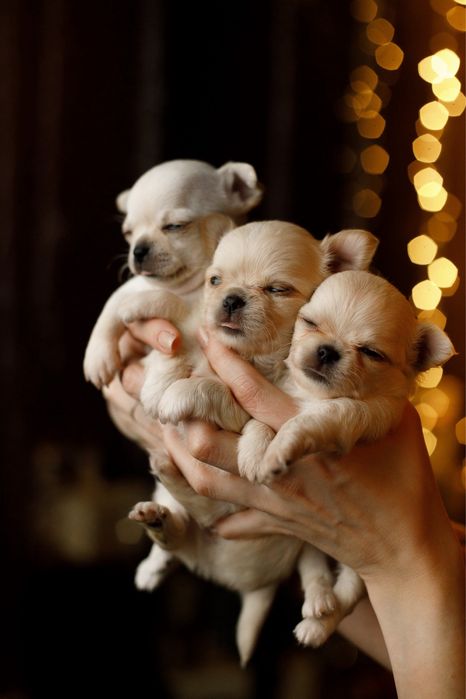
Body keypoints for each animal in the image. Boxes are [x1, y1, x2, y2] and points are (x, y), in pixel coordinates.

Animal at [83, 158, 263, 389]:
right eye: (128, 233)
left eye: (174, 226)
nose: (138, 250)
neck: (182, 287)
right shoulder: (134, 286)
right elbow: (110, 309)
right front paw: (98, 358)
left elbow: (169, 300)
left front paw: (135, 305)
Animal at [236, 269, 454, 645]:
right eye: (309, 323)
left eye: (371, 352)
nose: (327, 350)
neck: (312, 396)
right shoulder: (280, 392)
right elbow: (260, 422)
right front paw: (255, 453)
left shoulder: (356, 415)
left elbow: (305, 422)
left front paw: (280, 450)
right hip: (308, 544)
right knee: (314, 570)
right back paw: (318, 600)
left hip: (362, 569)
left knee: (348, 594)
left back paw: (316, 626)